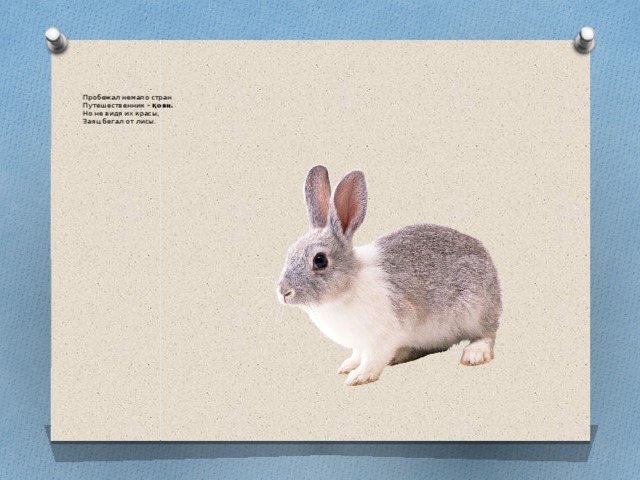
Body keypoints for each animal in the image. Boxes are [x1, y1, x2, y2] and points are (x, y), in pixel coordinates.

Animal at [276, 165, 502, 386]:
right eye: (290, 252)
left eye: (320, 260)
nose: (283, 292)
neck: (349, 284)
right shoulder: (360, 343)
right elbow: (357, 355)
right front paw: (348, 366)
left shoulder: (382, 337)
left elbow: (373, 359)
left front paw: (360, 376)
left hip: (476, 311)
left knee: (487, 334)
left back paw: (475, 354)